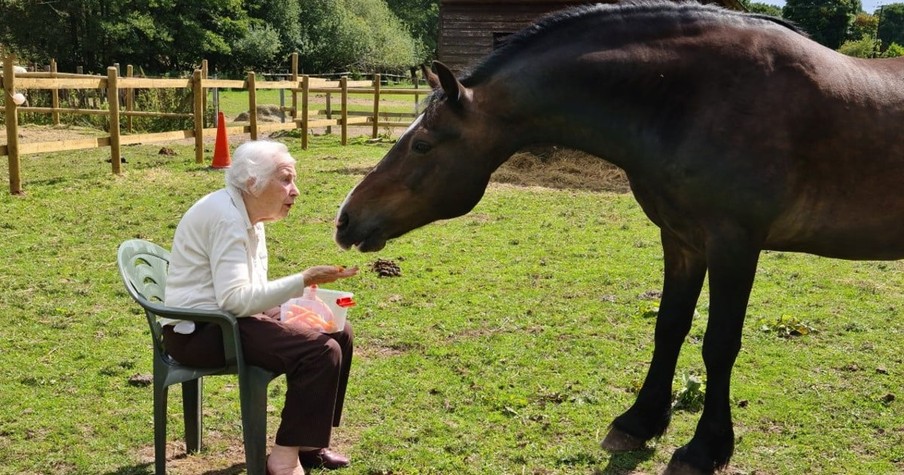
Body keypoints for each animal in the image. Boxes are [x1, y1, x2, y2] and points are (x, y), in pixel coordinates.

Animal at [334, 1, 904, 474]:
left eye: (423, 145)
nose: (344, 220)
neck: (697, 99)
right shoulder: (683, 241)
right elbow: (669, 328)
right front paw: (639, 422)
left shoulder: (734, 245)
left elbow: (719, 344)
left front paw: (705, 448)